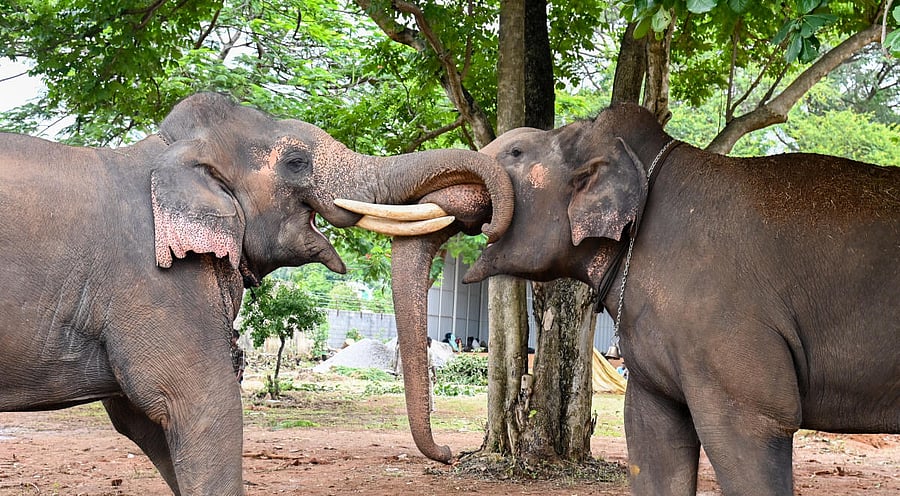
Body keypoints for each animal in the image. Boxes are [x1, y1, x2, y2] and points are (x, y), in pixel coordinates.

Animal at [0, 92, 513, 495]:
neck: (166, 152)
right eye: (296, 162)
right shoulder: (154, 279)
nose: (450, 451)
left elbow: (145, 424)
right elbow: (200, 406)